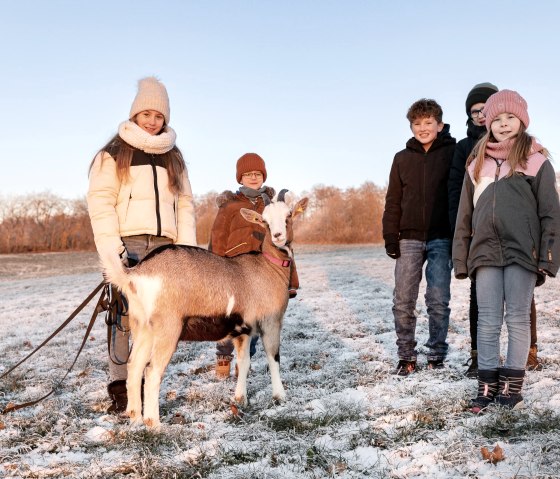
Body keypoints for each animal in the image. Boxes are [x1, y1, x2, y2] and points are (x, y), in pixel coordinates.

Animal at [103, 191, 308, 428]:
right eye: (264, 221)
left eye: (289, 215)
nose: (278, 236)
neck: (267, 266)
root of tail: (135, 274)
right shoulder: (271, 321)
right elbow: (273, 358)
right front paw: (280, 396)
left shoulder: (243, 330)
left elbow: (244, 362)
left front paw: (241, 399)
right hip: (168, 327)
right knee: (152, 371)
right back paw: (154, 424)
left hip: (142, 326)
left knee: (134, 367)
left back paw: (135, 418)